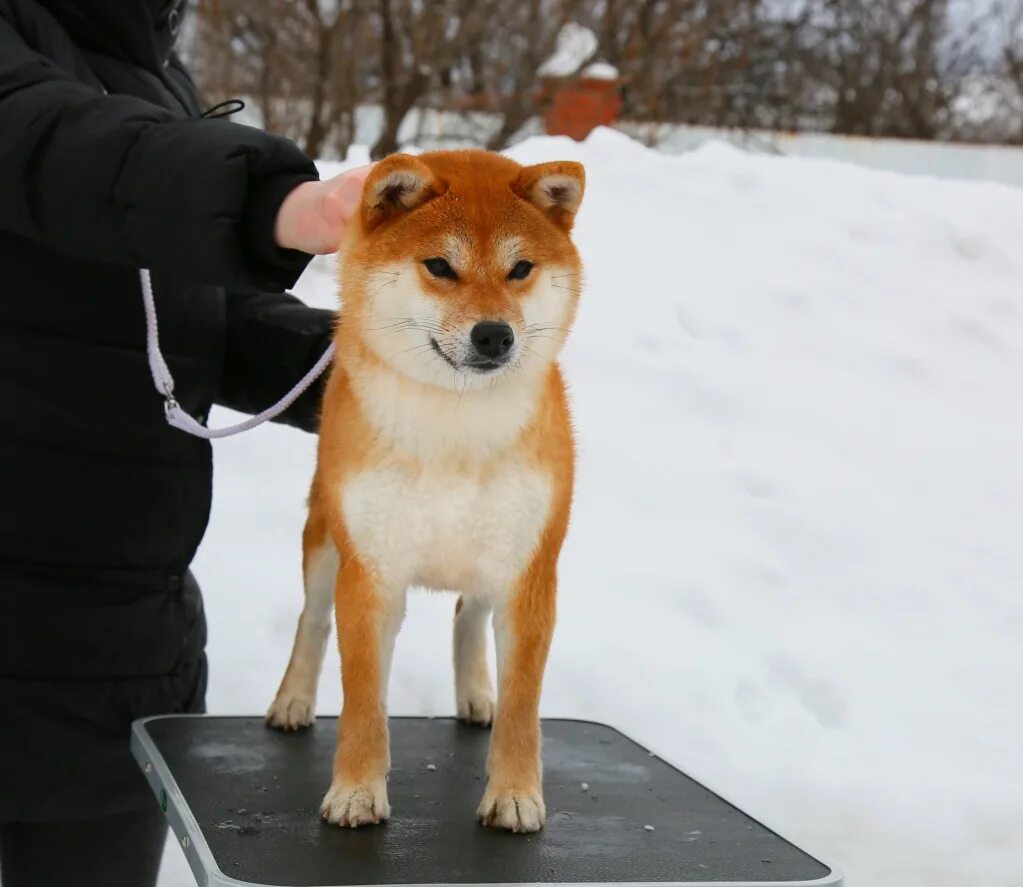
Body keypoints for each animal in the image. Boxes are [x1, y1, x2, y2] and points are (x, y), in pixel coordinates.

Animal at [265, 149, 585, 834]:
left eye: (520, 269)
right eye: (440, 266)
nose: (495, 335)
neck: (454, 427)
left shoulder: (530, 570)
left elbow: (524, 707)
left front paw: (514, 793)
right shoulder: (370, 569)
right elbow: (362, 700)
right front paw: (356, 792)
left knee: (469, 615)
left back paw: (476, 695)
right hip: (324, 539)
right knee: (312, 621)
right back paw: (293, 701)